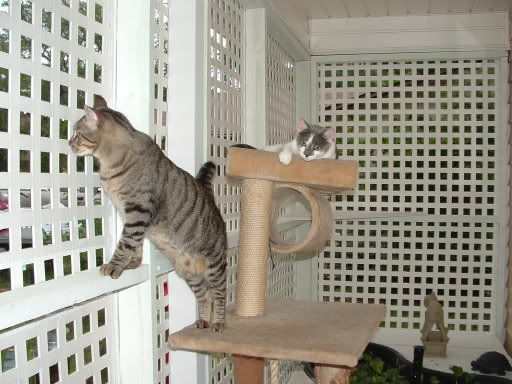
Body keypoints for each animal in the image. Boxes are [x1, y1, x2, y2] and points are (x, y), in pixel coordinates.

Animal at [69, 95, 227, 330]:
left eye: (77, 133)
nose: (69, 143)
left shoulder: (138, 211)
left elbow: (126, 243)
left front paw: (114, 265)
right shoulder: (128, 213)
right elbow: (135, 245)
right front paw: (132, 263)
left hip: (215, 265)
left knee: (219, 293)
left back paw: (218, 323)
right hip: (190, 273)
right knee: (205, 294)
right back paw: (203, 320)